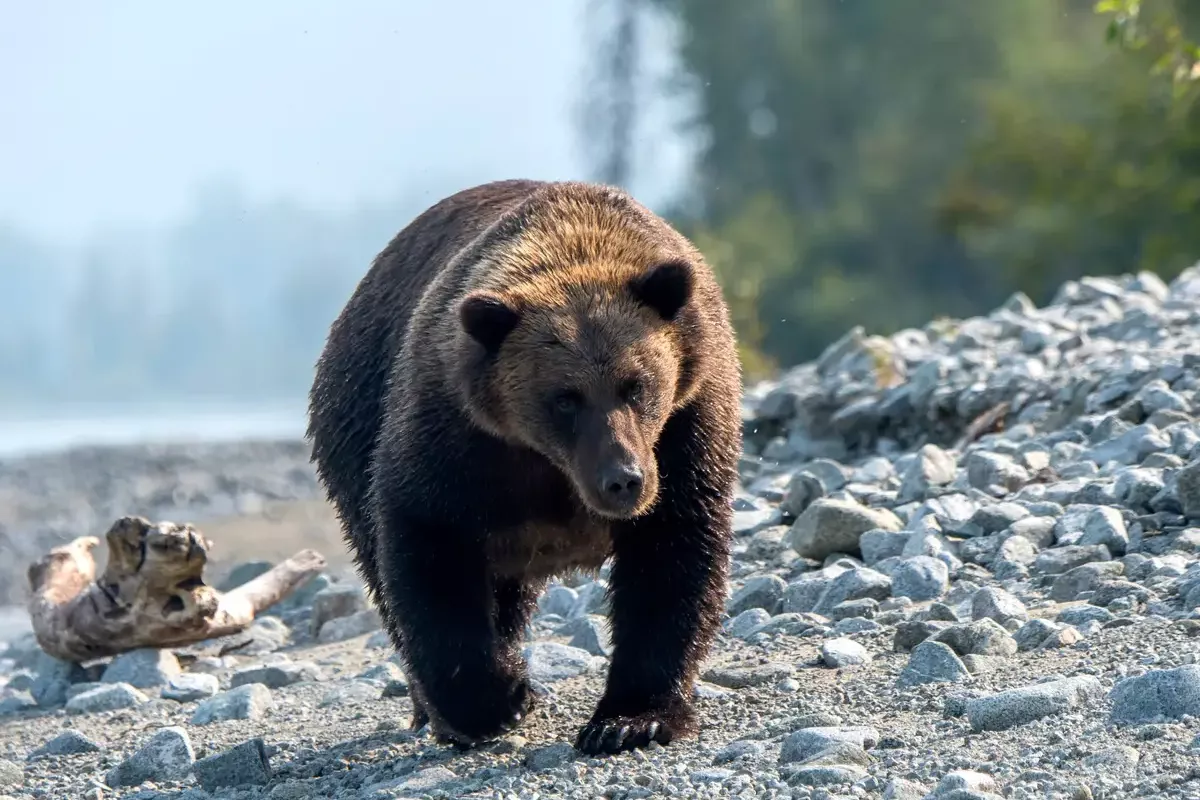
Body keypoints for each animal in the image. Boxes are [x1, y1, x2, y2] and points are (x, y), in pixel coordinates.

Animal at [306, 179, 742, 755]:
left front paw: (630, 720)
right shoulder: (458, 434)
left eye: (637, 385)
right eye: (565, 398)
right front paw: (494, 700)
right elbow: (429, 546)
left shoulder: (686, 423)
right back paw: (439, 707)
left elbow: (673, 553)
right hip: (355, 415)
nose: (623, 480)